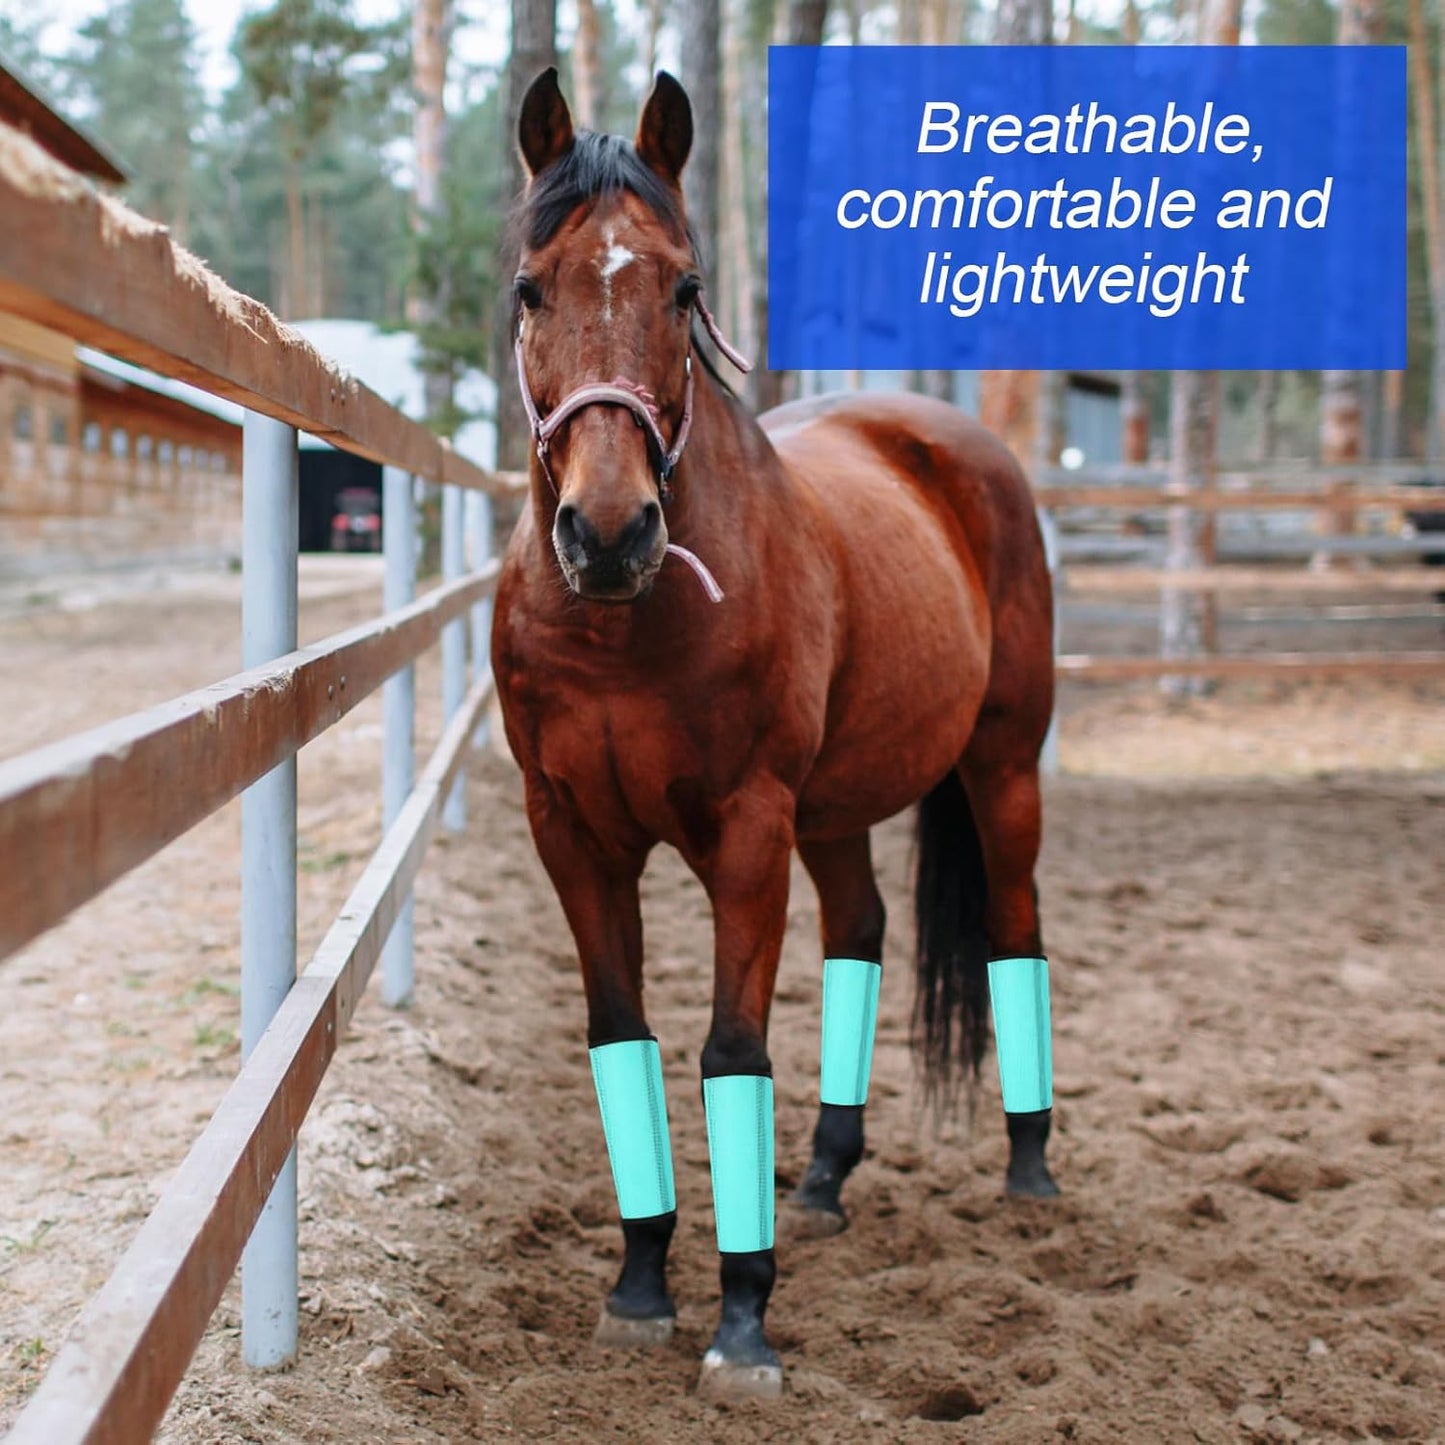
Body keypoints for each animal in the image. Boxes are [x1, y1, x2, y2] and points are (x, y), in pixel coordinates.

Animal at [492, 68, 1059, 1399]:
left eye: (682, 287)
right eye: (530, 287)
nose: (607, 531)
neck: (622, 623)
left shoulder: (745, 829)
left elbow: (730, 1049)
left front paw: (741, 1319)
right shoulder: (572, 835)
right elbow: (621, 1035)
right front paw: (640, 1284)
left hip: (1002, 765)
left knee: (1013, 925)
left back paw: (1027, 1165)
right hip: (836, 809)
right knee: (861, 928)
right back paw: (823, 1175)